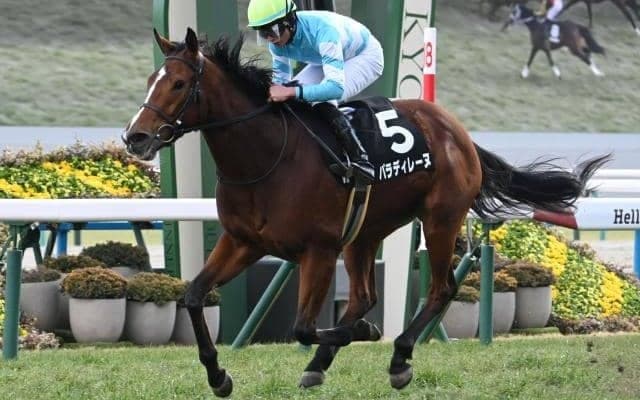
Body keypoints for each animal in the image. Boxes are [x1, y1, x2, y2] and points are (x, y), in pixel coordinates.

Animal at [122, 28, 609, 397]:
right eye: (148, 79)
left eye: (178, 84)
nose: (135, 137)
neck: (266, 159)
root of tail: (459, 132)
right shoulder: (242, 241)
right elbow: (192, 296)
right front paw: (219, 376)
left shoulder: (317, 250)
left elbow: (303, 328)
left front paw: (370, 335)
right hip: (365, 232)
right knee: (363, 296)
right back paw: (320, 364)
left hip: (440, 219)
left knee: (440, 289)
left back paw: (399, 358)